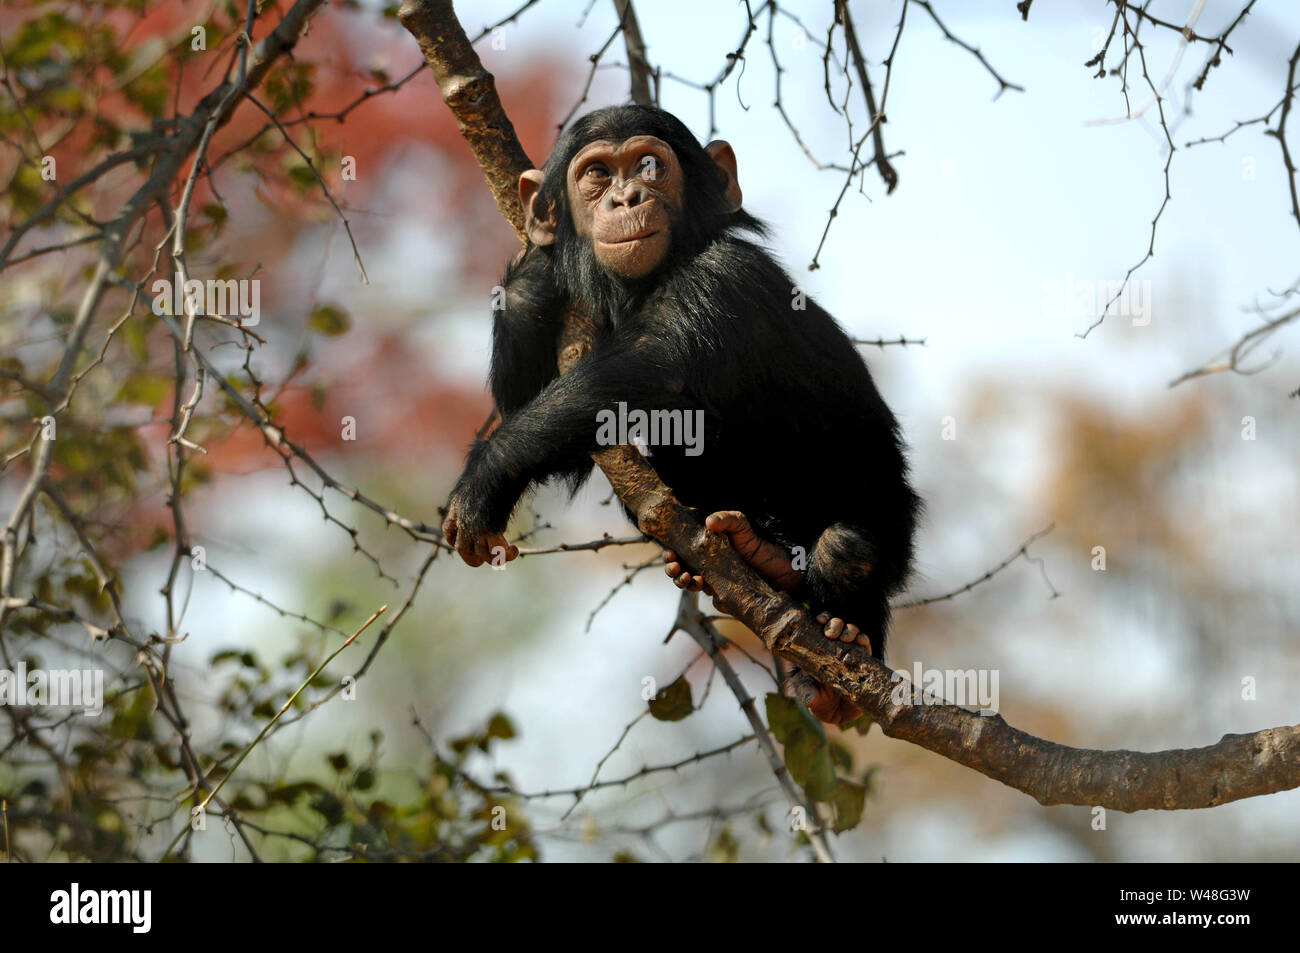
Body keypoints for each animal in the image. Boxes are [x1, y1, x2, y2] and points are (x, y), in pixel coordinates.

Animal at [441, 104, 920, 722]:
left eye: (650, 165)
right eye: (597, 174)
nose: (627, 197)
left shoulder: (722, 277)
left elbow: (650, 371)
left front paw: (485, 477)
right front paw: (532, 275)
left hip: (890, 525)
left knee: (847, 551)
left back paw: (839, 629)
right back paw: (756, 555)